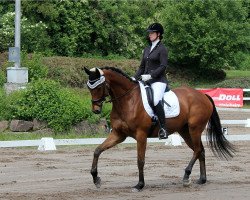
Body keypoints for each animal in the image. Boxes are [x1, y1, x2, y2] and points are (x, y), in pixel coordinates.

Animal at [83, 66, 234, 191]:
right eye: (89, 88)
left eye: (98, 87)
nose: (96, 110)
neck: (127, 100)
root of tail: (203, 95)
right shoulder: (118, 134)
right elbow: (97, 151)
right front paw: (96, 179)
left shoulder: (141, 135)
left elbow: (140, 160)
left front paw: (140, 185)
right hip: (185, 131)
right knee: (200, 151)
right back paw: (202, 179)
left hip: (195, 129)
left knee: (197, 150)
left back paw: (186, 177)